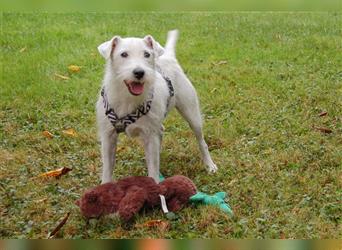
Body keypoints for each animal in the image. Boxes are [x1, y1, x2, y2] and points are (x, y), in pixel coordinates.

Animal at [95, 29, 216, 184]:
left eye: (147, 54)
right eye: (123, 54)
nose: (139, 72)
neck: (127, 97)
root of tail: (169, 58)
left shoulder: (150, 136)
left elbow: (152, 168)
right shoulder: (108, 136)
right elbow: (107, 169)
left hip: (192, 114)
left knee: (201, 141)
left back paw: (209, 164)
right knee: (161, 131)